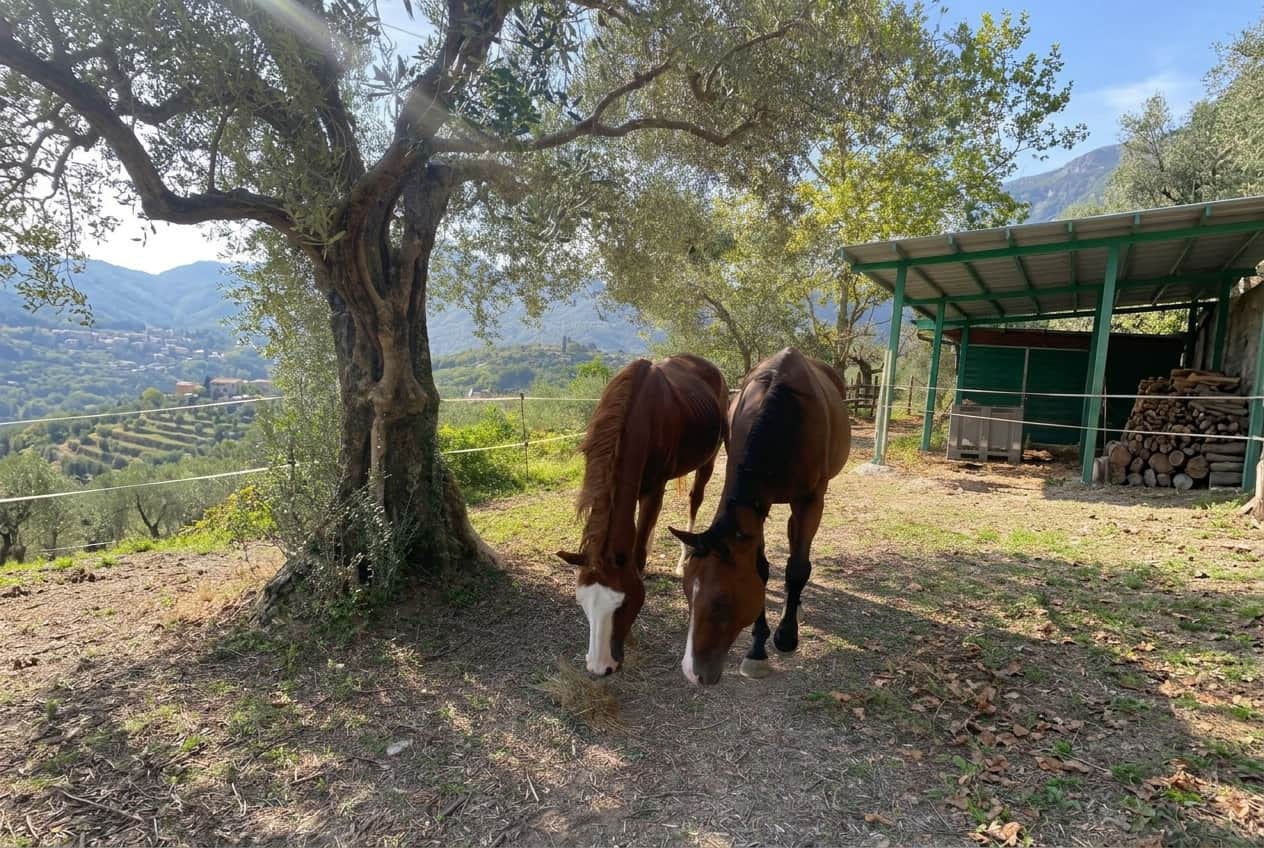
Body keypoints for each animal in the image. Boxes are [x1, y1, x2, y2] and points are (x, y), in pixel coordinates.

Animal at [556, 354, 728, 676]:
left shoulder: (653, 489)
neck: (639, 415)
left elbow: (637, 555)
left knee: (695, 500)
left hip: (709, 459)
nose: (600, 668)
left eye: (622, 605)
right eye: (582, 604)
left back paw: (683, 559)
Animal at [670, 347, 849, 686]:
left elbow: (797, 568)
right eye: (686, 592)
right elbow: (762, 570)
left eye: (721, 602)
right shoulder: (756, 509)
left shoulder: (810, 500)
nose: (692, 672)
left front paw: (786, 636)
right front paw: (756, 648)